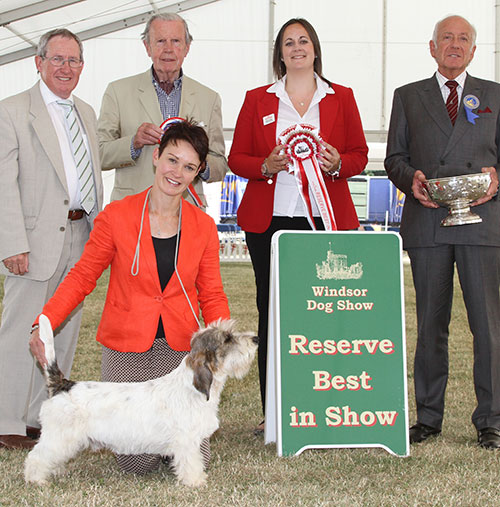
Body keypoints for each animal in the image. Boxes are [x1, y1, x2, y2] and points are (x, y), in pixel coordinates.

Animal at [24, 314, 258, 488]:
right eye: (227, 339)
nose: (256, 338)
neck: (191, 387)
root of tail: (63, 384)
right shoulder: (187, 442)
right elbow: (191, 463)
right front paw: (196, 481)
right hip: (59, 437)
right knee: (36, 456)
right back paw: (36, 479)